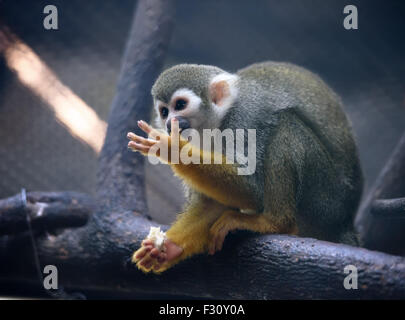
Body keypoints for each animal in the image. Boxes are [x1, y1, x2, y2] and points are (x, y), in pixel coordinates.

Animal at [128, 62, 362, 272]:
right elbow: (211, 204)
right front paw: (169, 248)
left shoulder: (243, 122)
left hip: (325, 199)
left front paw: (172, 149)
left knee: (287, 125)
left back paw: (275, 223)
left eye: (179, 105)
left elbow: (252, 189)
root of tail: (345, 221)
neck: (216, 126)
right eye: (164, 112)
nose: (169, 124)